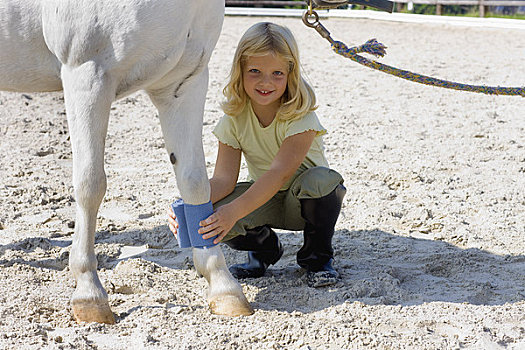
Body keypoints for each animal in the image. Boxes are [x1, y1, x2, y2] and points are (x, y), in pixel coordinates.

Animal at [0, 0, 254, 322]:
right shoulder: (87, 75)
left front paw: (223, 287)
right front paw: (89, 293)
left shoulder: (183, 84)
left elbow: (195, 182)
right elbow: (90, 184)